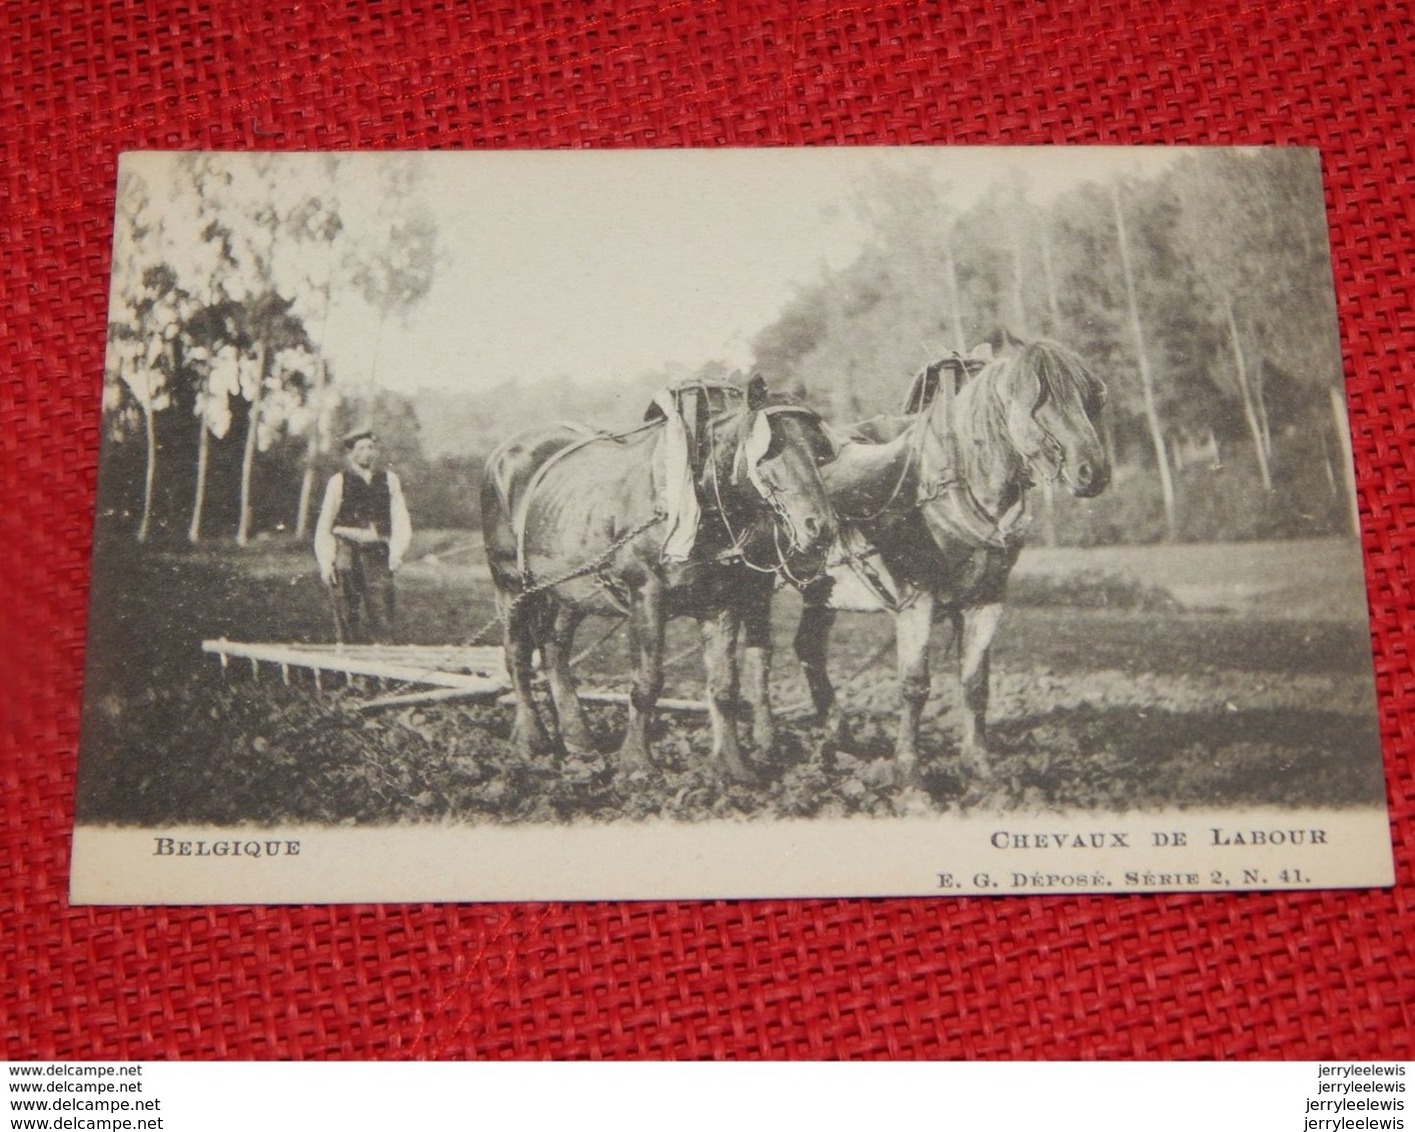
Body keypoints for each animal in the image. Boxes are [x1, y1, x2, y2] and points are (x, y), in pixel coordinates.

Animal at [486, 376, 837, 781]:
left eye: (819, 449)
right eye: (769, 449)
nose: (821, 526)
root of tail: (503, 453)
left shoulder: (724, 601)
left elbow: (724, 685)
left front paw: (731, 766)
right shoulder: (646, 593)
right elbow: (647, 681)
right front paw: (636, 762)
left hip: (570, 589)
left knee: (555, 649)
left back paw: (578, 738)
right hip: (511, 583)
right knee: (517, 655)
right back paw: (531, 738)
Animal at [798, 336, 1103, 786]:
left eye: (1090, 397)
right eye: (1036, 399)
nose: (1093, 472)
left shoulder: (987, 600)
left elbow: (975, 684)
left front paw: (980, 769)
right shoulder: (916, 601)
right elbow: (914, 686)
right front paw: (909, 773)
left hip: (820, 593)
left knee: (808, 649)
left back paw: (839, 739)